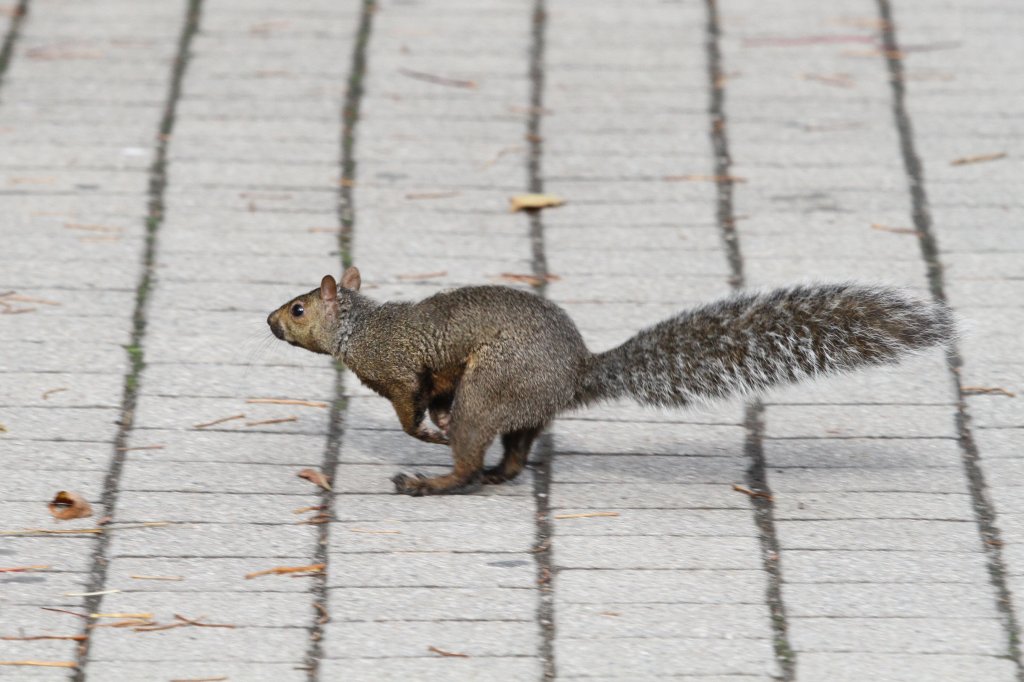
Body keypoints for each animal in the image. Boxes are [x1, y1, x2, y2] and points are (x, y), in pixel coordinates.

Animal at [268, 266, 954, 493]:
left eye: (299, 309)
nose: (269, 321)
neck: (361, 327)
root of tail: (575, 373)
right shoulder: (432, 379)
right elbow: (433, 400)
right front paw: (434, 425)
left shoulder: (399, 370)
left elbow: (411, 410)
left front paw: (426, 435)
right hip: (515, 405)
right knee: (516, 451)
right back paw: (497, 471)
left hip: (490, 391)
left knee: (471, 456)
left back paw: (433, 480)